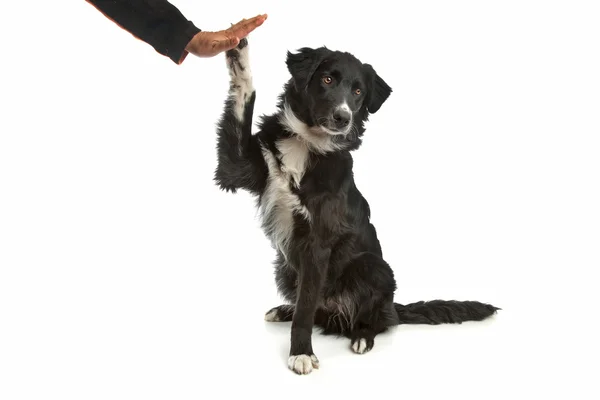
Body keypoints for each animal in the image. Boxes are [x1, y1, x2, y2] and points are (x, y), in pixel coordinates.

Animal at [213, 35, 500, 376]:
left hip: (374, 267)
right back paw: (285, 310)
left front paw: (301, 352)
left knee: (378, 319)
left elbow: (306, 308)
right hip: (284, 267)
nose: (343, 118)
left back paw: (362, 335)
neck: (308, 143)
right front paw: (238, 55)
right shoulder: (237, 168)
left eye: (358, 91)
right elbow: (243, 98)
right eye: (327, 79)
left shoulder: (318, 243)